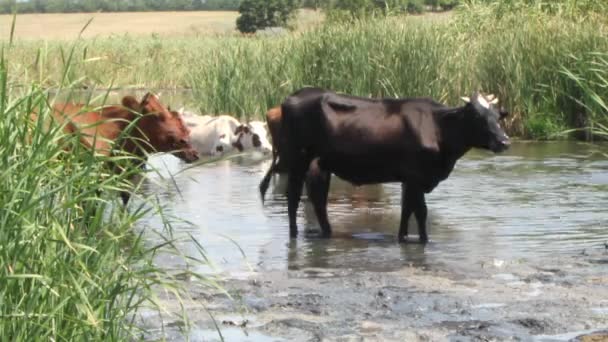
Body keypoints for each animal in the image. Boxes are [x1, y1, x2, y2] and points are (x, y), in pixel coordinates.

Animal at [258, 87, 510, 243]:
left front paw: (403, 238)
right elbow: (420, 212)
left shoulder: (410, 179)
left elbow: (407, 210)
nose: (505, 141)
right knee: (293, 197)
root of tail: (295, 95)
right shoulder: (416, 177)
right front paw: (424, 241)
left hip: (319, 165)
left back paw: (327, 233)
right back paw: (293, 234)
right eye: (478, 117)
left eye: (498, 116)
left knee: (317, 200)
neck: (438, 128)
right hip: (297, 159)